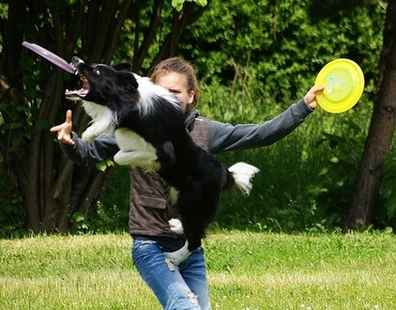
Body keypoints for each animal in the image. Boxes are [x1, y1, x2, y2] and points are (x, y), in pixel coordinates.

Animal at [66, 57, 258, 256]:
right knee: (197, 227)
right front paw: (88, 135)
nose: (75, 59)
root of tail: (227, 175)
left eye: (97, 72)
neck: (133, 105)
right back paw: (177, 226)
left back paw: (172, 258)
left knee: (195, 240)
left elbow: (121, 156)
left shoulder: (165, 154)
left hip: (192, 201)